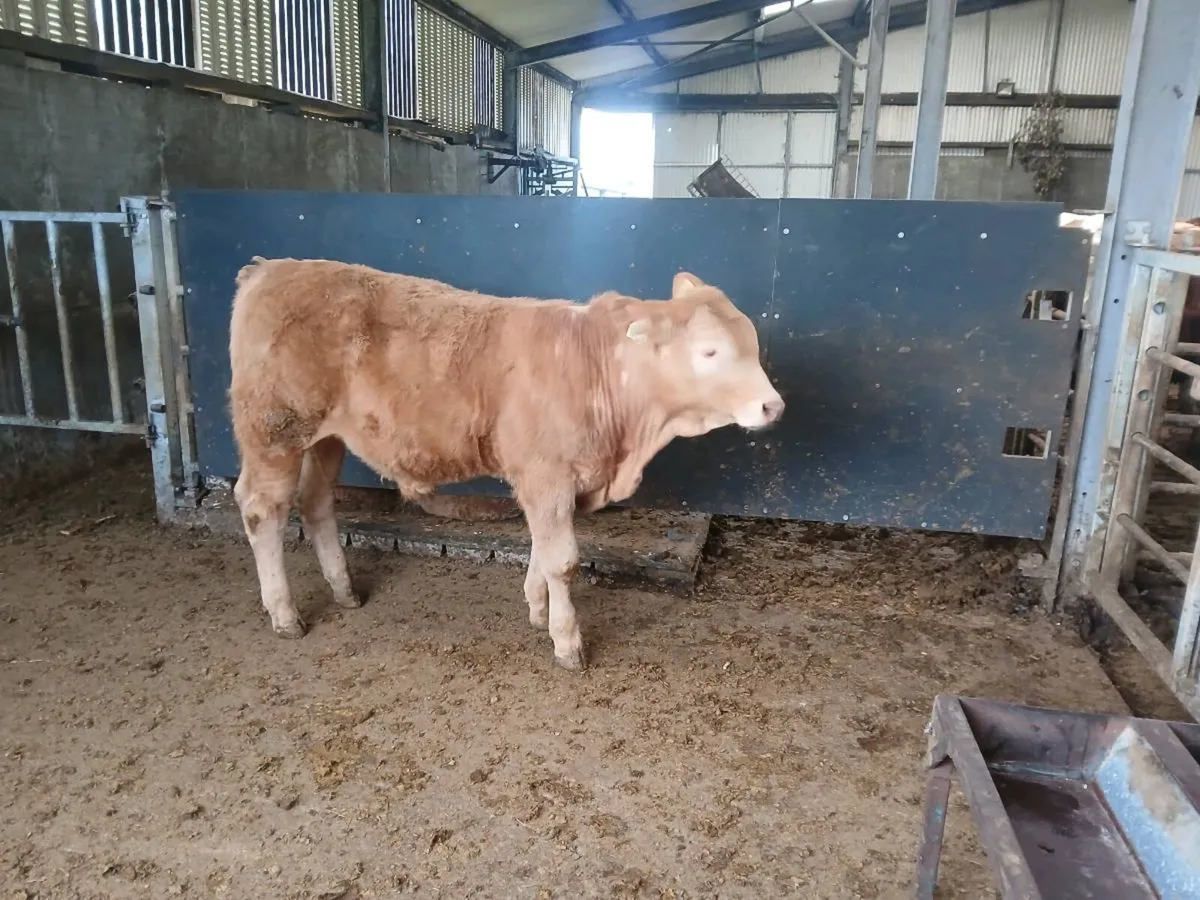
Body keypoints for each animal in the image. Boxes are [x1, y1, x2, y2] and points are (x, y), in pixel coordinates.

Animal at [228, 259, 784, 670]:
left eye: (754, 345)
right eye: (709, 352)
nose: (772, 406)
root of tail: (268, 268)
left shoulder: (556, 480)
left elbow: (541, 546)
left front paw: (537, 608)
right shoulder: (546, 473)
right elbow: (563, 559)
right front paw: (567, 641)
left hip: (325, 439)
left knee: (316, 503)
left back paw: (344, 591)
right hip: (273, 432)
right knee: (261, 509)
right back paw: (285, 614)